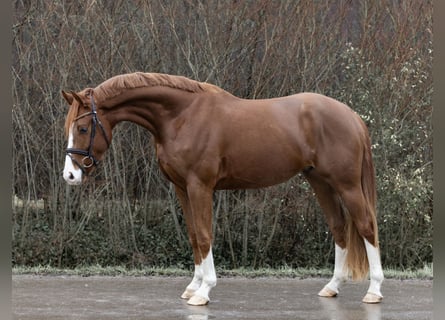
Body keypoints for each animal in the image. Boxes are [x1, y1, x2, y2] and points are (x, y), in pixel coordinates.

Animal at [61, 72, 382, 304]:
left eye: (83, 128)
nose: (70, 175)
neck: (181, 116)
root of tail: (352, 116)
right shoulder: (181, 188)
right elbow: (193, 236)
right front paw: (193, 287)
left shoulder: (200, 186)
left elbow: (205, 236)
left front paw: (204, 292)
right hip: (320, 182)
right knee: (339, 228)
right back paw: (332, 286)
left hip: (347, 185)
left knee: (366, 225)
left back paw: (374, 291)